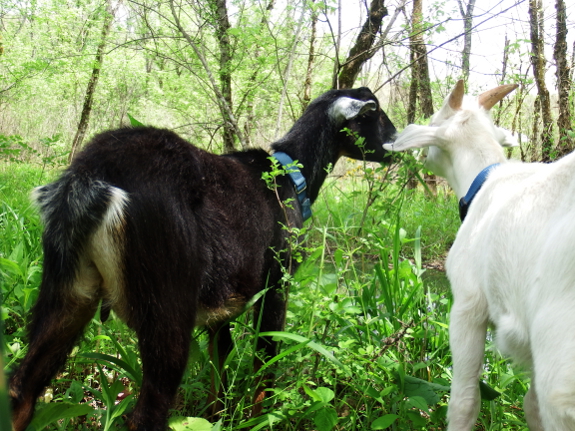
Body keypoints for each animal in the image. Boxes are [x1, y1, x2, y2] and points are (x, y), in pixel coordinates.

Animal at [9, 86, 396, 430]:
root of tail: (92, 174)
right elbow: (265, 356)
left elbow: (220, 358)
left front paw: (216, 417)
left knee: (21, 387)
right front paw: (260, 419)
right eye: (374, 112)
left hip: (68, 287)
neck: (289, 173)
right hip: (167, 302)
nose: (396, 148)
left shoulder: (221, 304)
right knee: (147, 415)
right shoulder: (276, 281)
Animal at [384, 80, 575, 428]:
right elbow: (531, 404)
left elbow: (464, 401)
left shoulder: (467, 304)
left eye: (434, 120)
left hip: (561, 370)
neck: (484, 179)